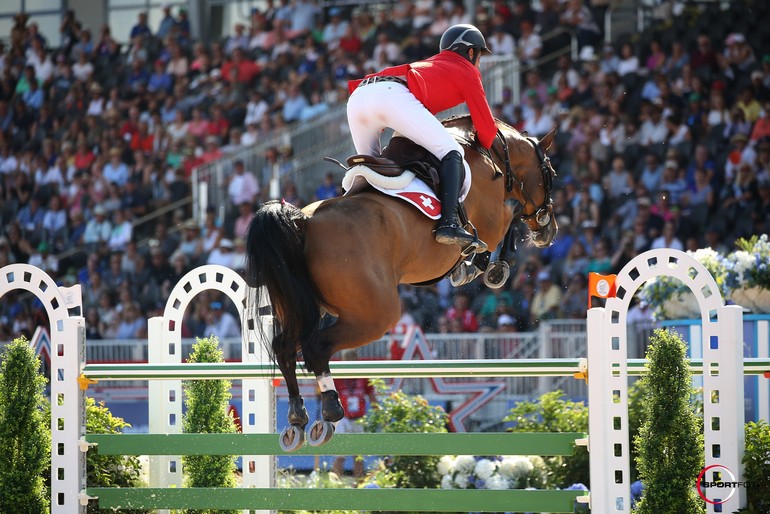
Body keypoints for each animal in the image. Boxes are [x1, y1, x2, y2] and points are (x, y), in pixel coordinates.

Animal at [244, 116, 552, 448]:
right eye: (550, 173)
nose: (549, 231)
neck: (489, 154)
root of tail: (302, 221)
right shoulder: (493, 221)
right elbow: (513, 212)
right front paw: (493, 267)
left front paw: (470, 268)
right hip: (376, 315)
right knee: (317, 347)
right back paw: (329, 412)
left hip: (302, 306)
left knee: (284, 349)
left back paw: (297, 421)